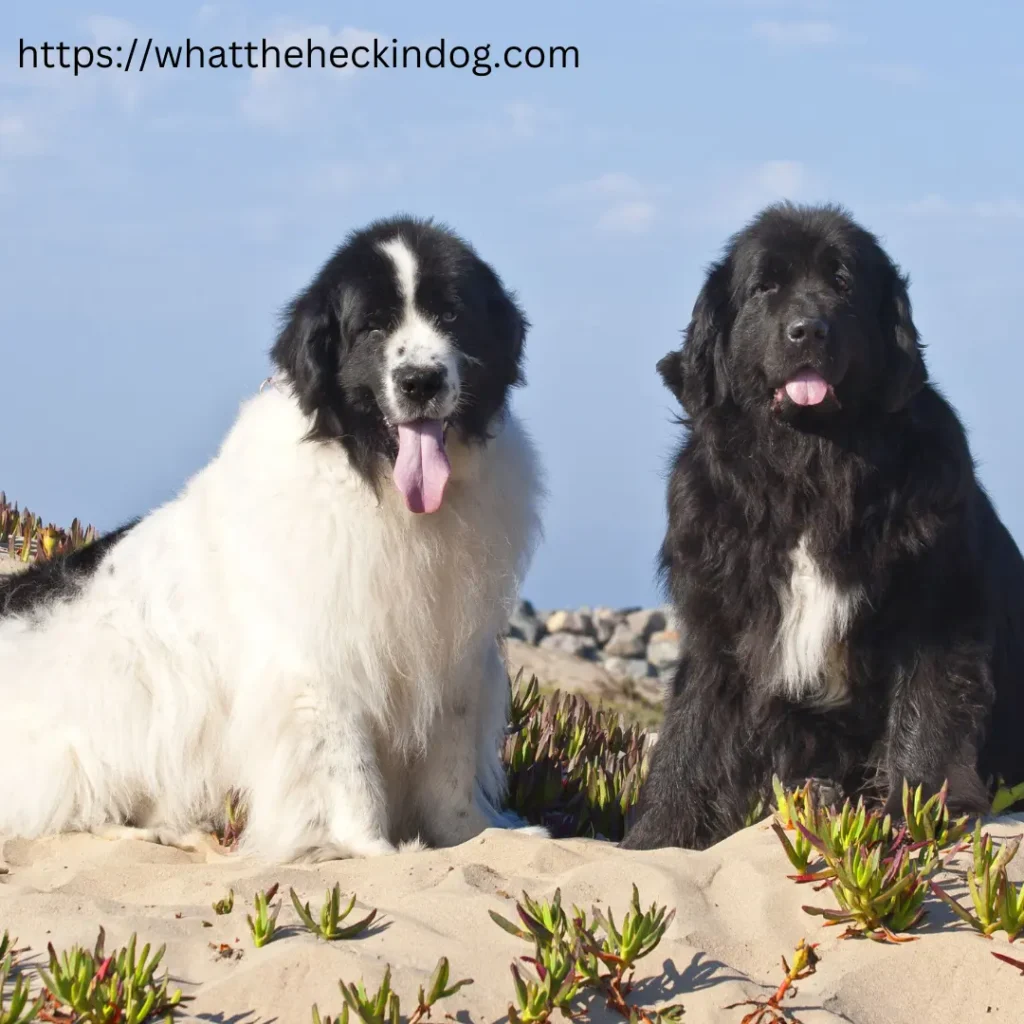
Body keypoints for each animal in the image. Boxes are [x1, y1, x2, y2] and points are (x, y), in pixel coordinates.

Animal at [0, 216, 544, 864]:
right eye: (372, 326)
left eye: (452, 316)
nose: (420, 380)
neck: (376, 484)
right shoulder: (319, 664)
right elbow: (349, 768)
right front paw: (372, 851)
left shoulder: (455, 657)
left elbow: (452, 768)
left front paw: (479, 835)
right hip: (79, 745)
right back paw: (154, 832)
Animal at [618, 203, 1024, 851]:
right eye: (765, 287)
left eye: (843, 284)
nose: (808, 330)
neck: (810, 472)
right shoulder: (720, 625)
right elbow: (690, 734)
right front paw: (655, 838)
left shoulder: (937, 609)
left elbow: (926, 714)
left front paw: (916, 817)